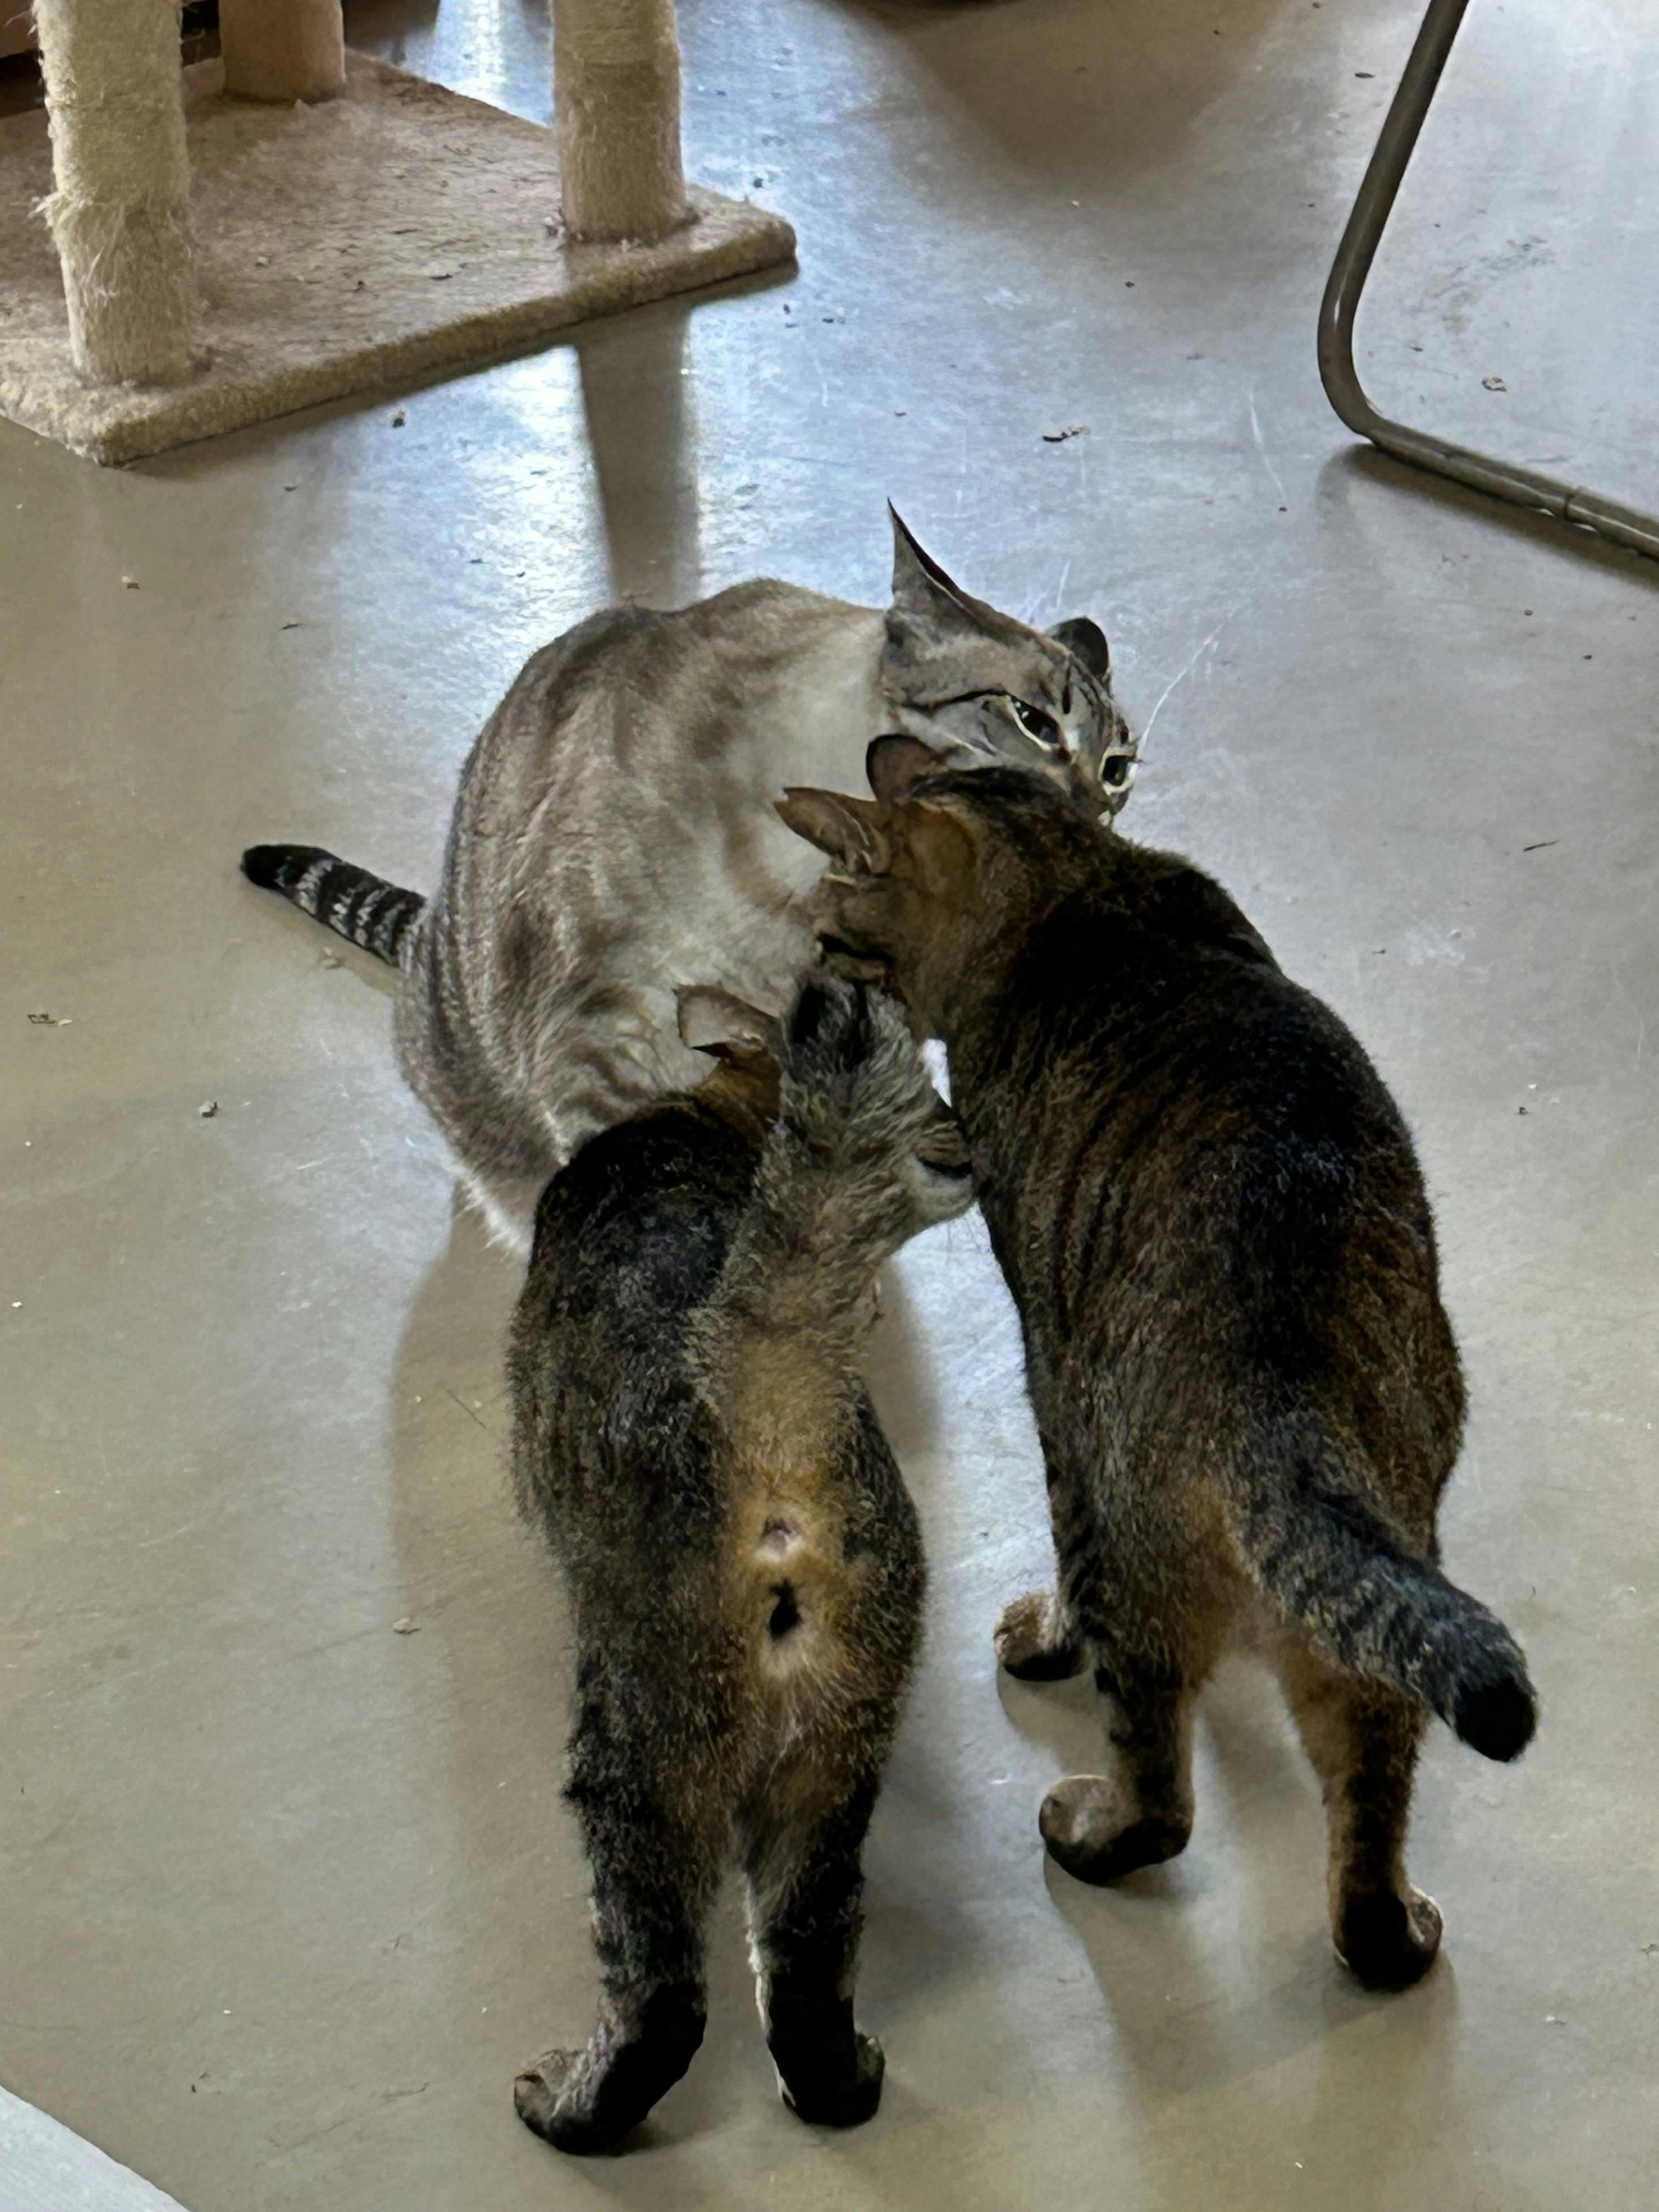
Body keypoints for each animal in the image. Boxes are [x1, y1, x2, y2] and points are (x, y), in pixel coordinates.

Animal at [241, 511, 1134, 1251]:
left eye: (1118, 769)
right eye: (1034, 722)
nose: (1093, 812)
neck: (794, 890)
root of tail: (424, 933)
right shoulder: (602, 1034)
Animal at [507, 972, 974, 2154]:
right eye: (928, 1100)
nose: (966, 1138)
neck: (704, 1117)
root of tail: (767, 1389)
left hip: (642, 1748)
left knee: (664, 1998)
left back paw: (569, 2109)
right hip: (839, 1743)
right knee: (804, 1963)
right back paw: (841, 2086)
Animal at [779, 742, 1537, 1991]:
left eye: (834, 938)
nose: (803, 984)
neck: (1073, 885)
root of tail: (1273, 1404)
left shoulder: (1047, 1373)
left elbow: (1064, 1563)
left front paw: (1045, 1635)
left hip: (1124, 1532)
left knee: (1162, 1800)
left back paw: (1085, 1828)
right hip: (1386, 1574)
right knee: (1370, 1775)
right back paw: (1385, 1934)